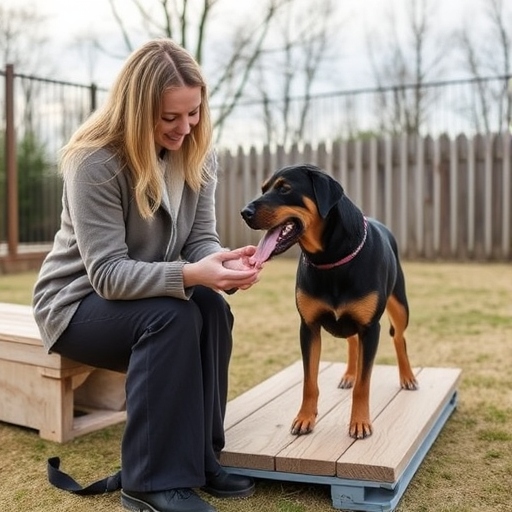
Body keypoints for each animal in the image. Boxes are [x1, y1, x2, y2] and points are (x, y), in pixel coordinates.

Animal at [242, 164, 418, 440]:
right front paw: (305, 418)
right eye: (263, 189)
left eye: (284, 188)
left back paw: (407, 376)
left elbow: (363, 384)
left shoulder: (370, 329)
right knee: (352, 341)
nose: (244, 212)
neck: (330, 258)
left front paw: (360, 422)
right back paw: (349, 374)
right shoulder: (308, 327)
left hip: (400, 305)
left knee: (398, 336)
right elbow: (309, 381)